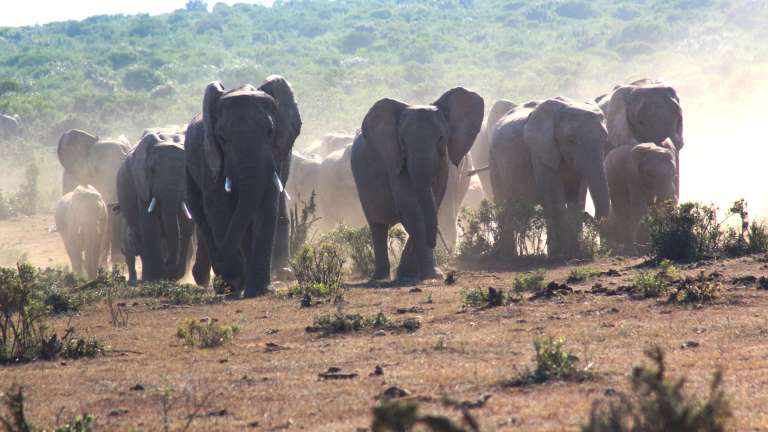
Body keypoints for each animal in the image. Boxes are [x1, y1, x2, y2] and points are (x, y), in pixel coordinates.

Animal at [117, 130, 194, 285]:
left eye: (187, 170)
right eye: (152, 171)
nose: (169, 264)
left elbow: (186, 225)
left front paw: (172, 277)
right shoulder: (142, 184)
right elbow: (149, 225)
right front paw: (155, 279)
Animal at [185, 76, 301, 298]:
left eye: (270, 132)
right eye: (222, 137)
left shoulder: (275, 157)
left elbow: (267, 207)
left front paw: (259, 291)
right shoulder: (209, 159)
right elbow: (217, 208)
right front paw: (235, 281)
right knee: (202, 216)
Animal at [351, 87, 484, 282]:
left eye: (441, 138)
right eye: (403, 142)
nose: (435, 243)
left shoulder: (444, 163)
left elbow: (433, 201)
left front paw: (411, 273)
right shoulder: (394, 159)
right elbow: (412, 208)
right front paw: (432, 274)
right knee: (377, 225)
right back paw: (379, 278)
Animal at [489, 97, 610, 259]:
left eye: (605, 140)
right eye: (571, 140)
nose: (588, 214)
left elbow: (578, 196)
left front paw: (575, 253)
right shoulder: (540, 151)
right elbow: (555, 196)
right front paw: (562, 254)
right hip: (493, 160)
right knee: (503, 202)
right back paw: (508, 256)